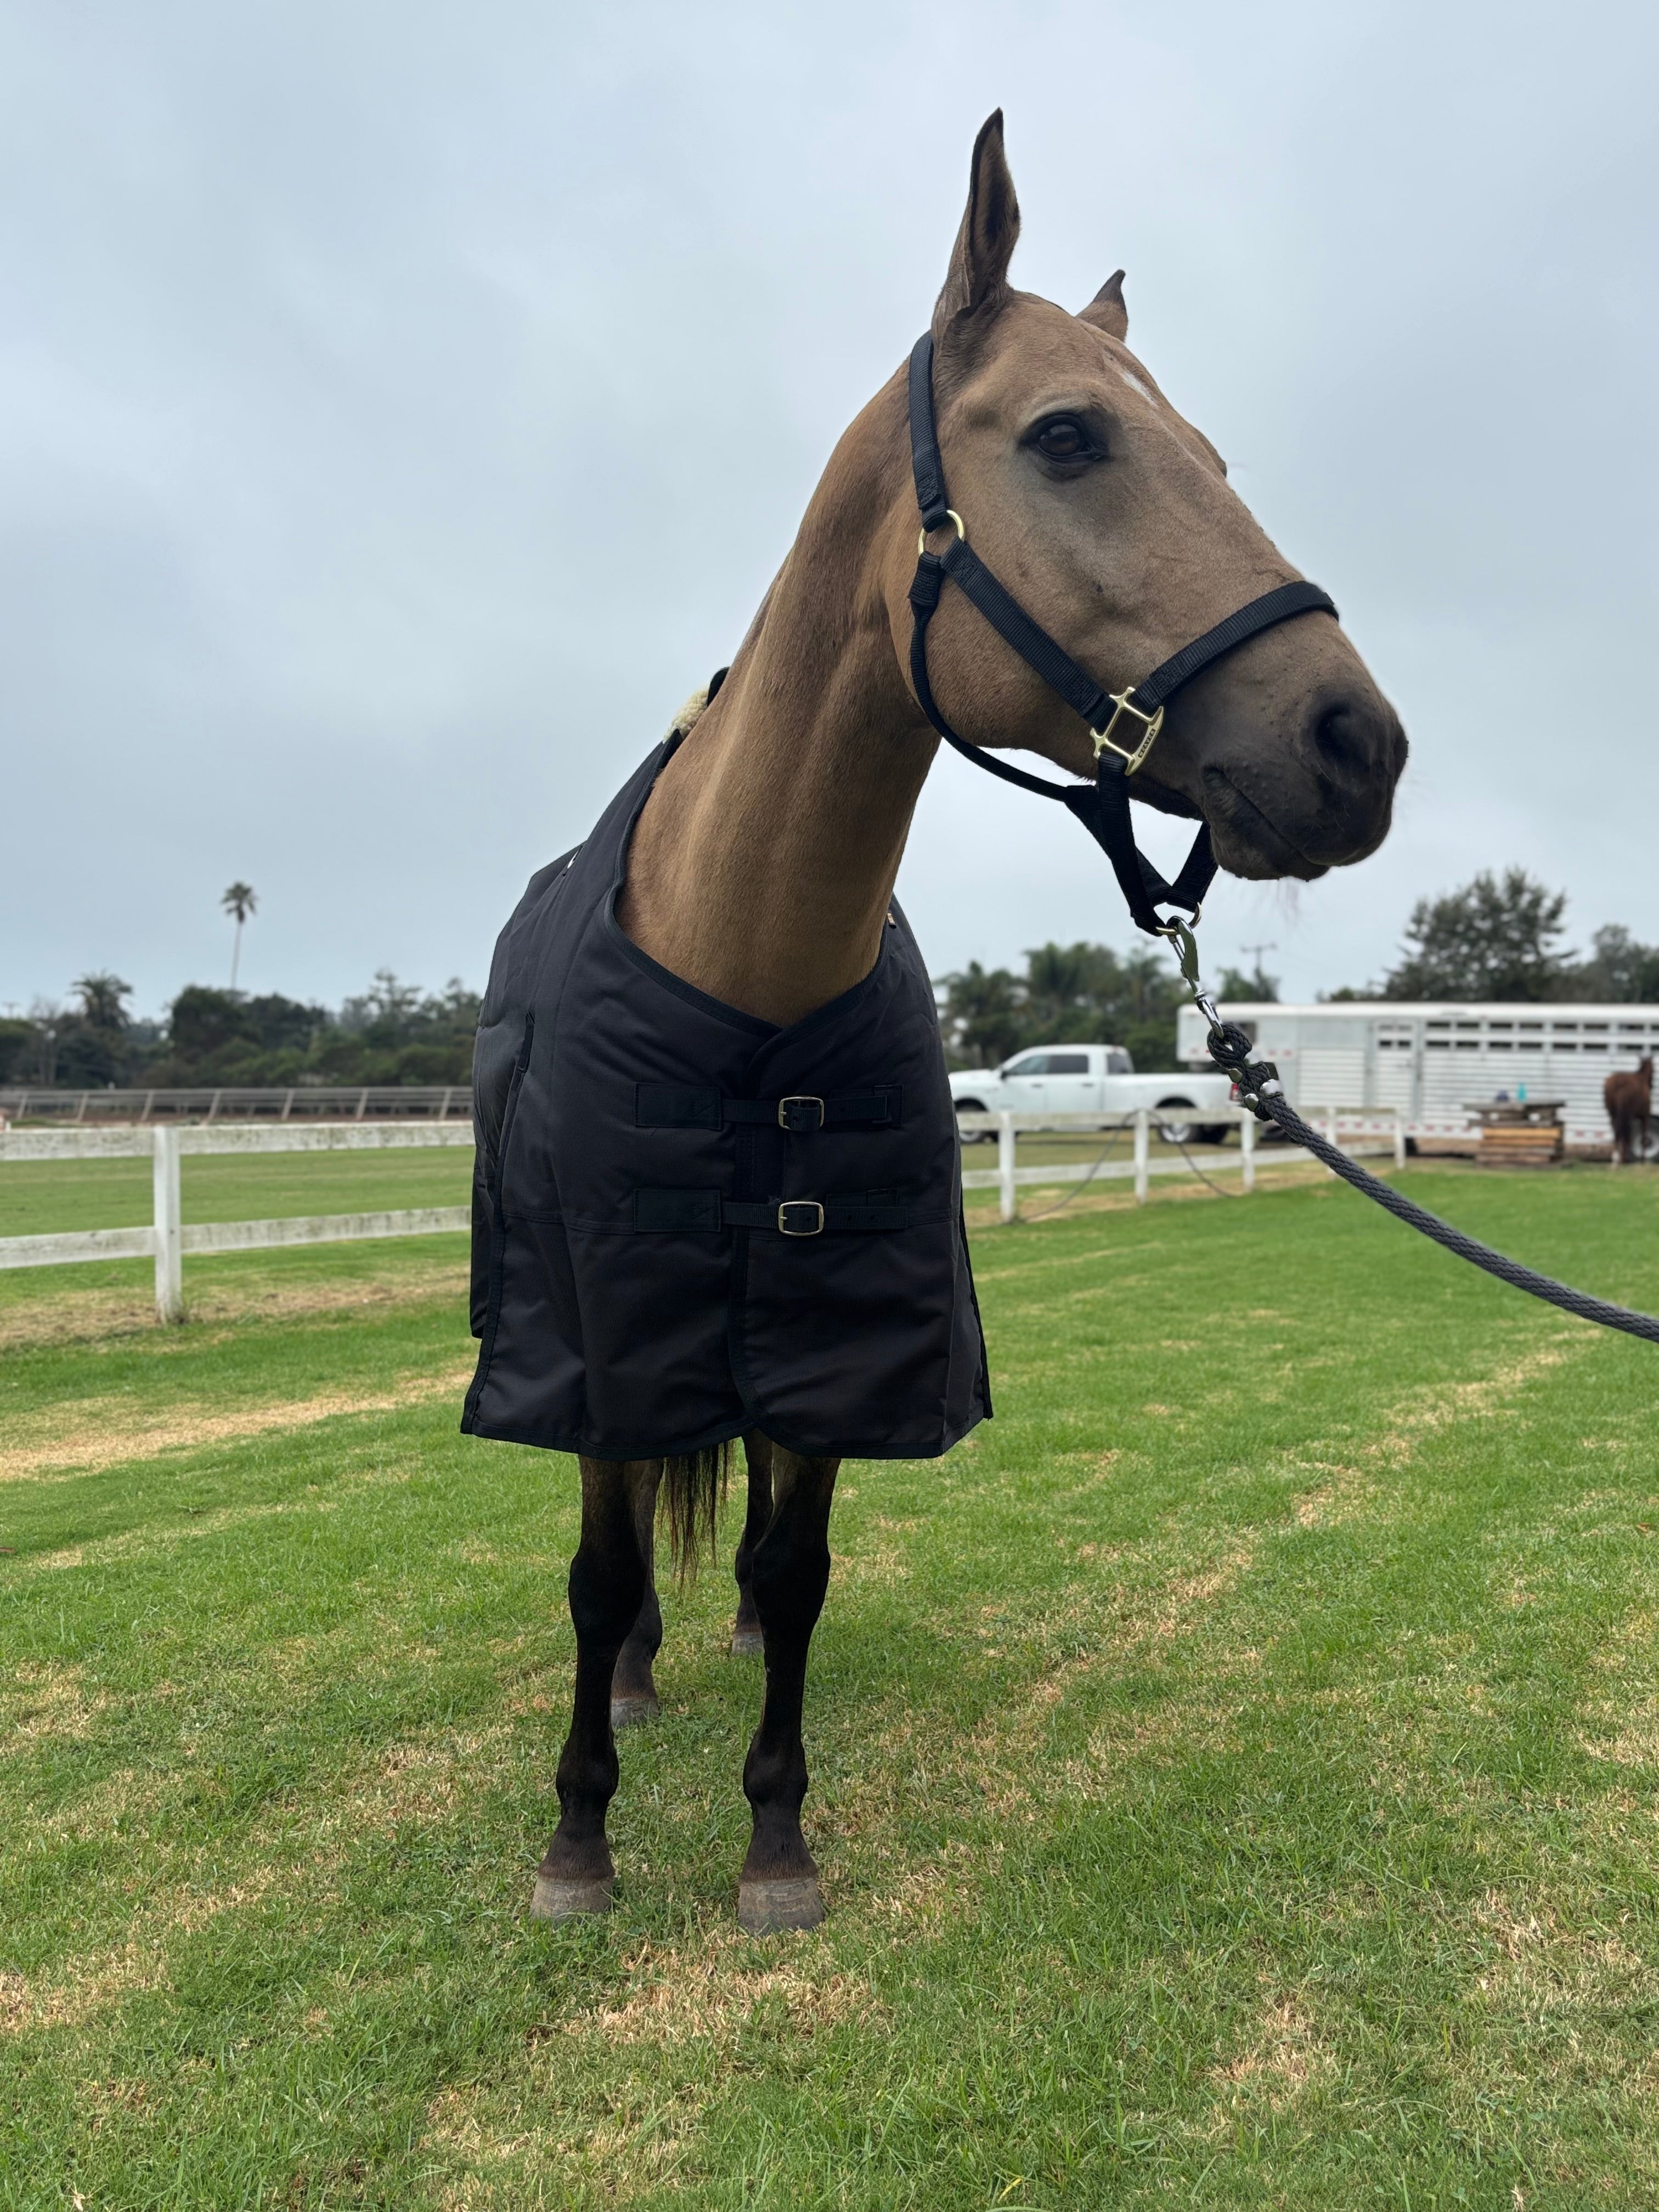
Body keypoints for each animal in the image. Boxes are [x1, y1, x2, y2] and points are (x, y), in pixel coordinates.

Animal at [467, 112, 1407, 1933]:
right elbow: (599, 1568)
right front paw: (580, 1836)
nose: (1359, 745)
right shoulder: (602, 1329)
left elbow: (796, 1560)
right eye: (1068, 436)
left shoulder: (848, 1329)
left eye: (1219, 454)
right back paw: (640, 1673)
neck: (744, 976)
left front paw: (775, 1839)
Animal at [1606, 1056, 1653, 1164]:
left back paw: (1616, 1158)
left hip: (1613, 1113)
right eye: (1654, 1069)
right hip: (1626, 1114)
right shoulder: (1645, 1116)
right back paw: (1621, 1159)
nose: (1652, 1085)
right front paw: (1643, 1159)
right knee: (1623, 1131)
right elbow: (1643, 1136)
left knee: (1617, 1131)